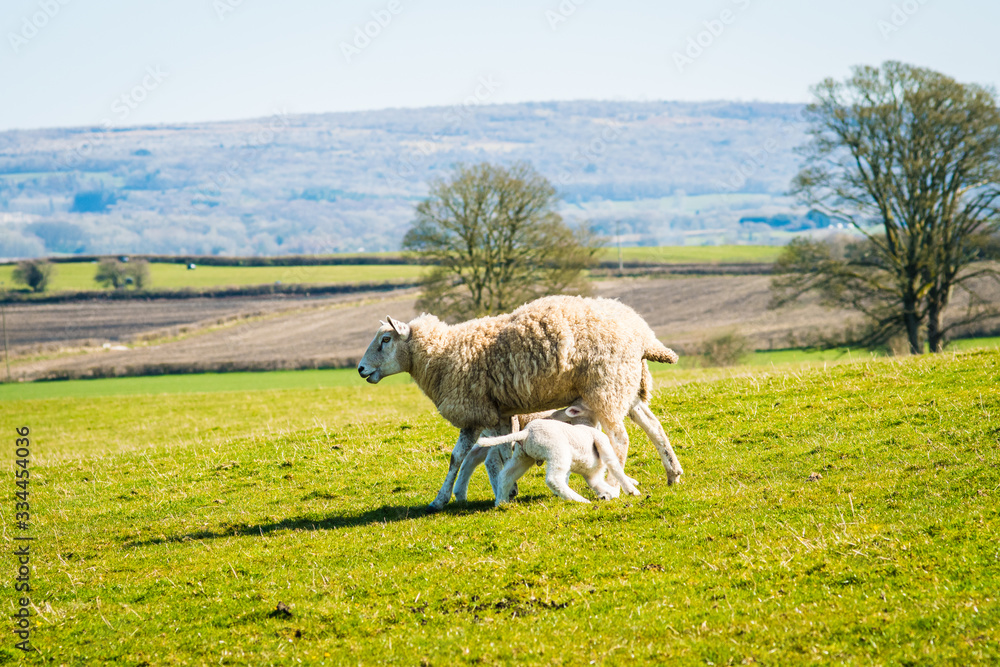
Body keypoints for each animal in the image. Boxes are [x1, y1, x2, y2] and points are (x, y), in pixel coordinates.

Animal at [477, 402, 641, 505]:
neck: (586, 425)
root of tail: (526, 433)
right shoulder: (603, 444)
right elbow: (615, 467)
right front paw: (632, 491)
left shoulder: (591, 474)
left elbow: (598, 484)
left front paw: (610, 493)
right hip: (558, 453)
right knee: (553, 479)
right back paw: (580, 500)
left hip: (522, 456)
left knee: (506, 475)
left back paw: (501, 502)